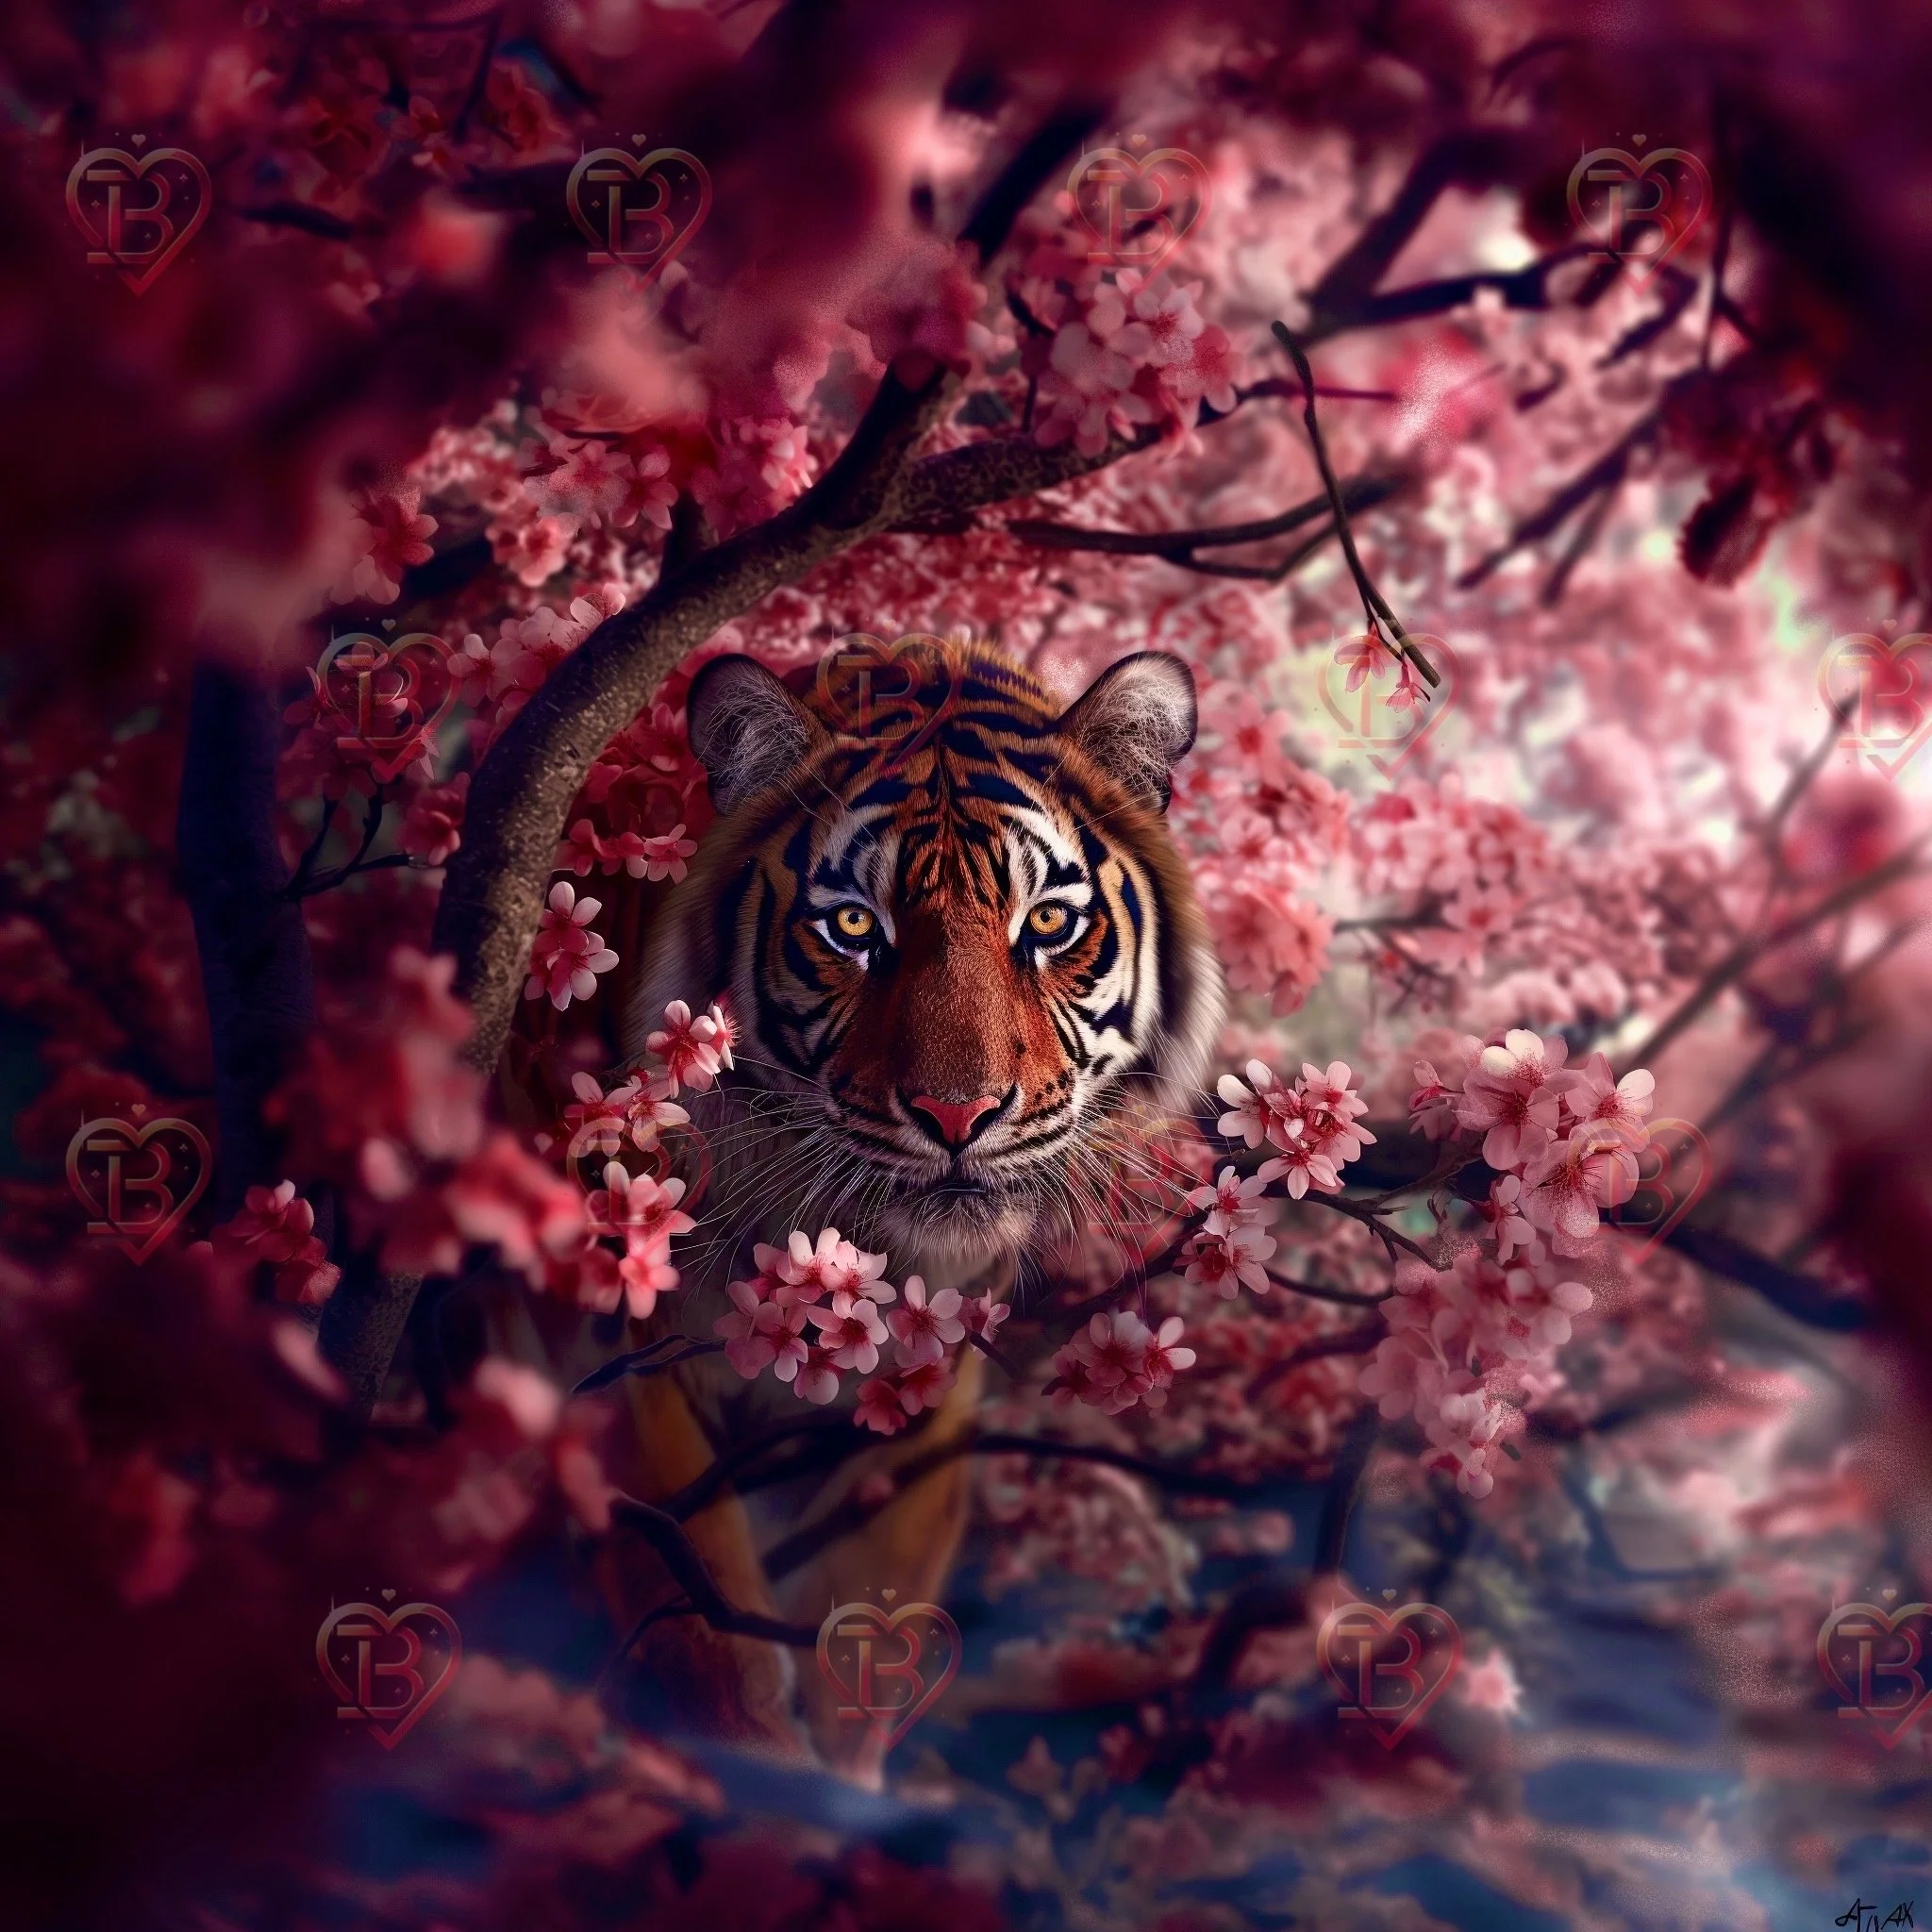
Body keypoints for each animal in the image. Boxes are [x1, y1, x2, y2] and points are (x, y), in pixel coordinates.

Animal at [598, 634, 1223, 1782]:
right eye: (854, 925)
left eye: (1048, 923)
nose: (956, 1113)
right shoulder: (631, 1362)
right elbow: (711, 1627)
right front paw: (755, 1773)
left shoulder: (923, 1397)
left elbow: (862, 1633)